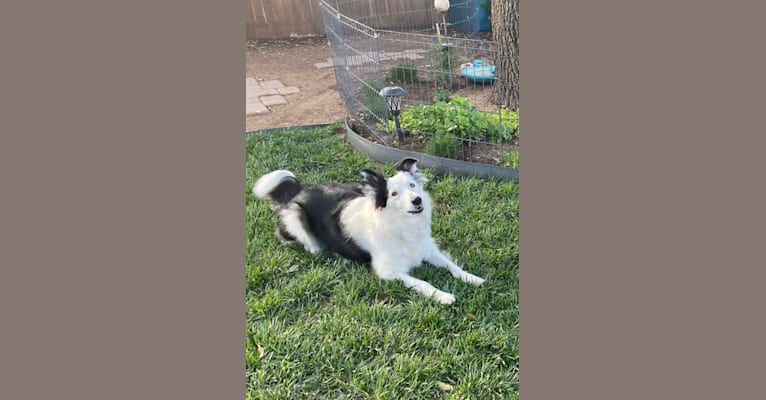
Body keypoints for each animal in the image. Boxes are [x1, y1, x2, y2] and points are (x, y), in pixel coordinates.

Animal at [255, 158, 488, 304]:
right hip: (297, 217)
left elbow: (452, 266)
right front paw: (443, 296)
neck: (403, 226)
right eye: (393, 194)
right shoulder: (388, 271)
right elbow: (423, 283)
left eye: (412, 185)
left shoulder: (428, 250)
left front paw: (472, 278)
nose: (417, 200)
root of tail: (299, 191)